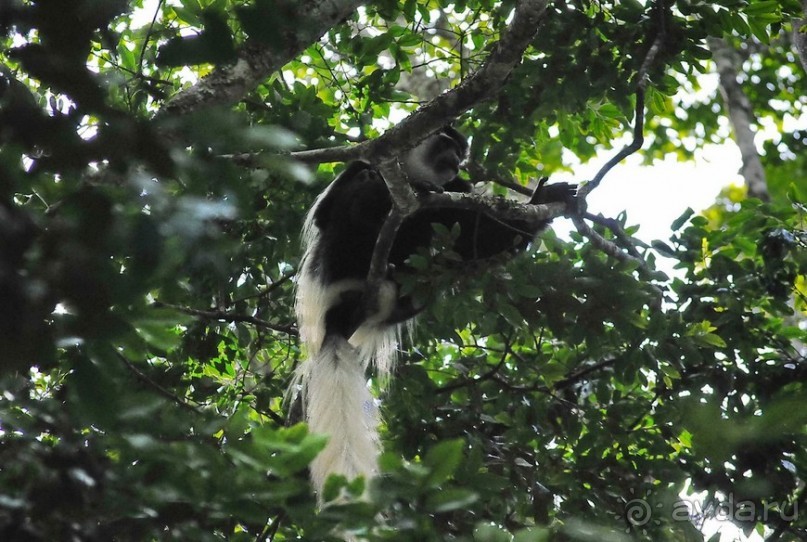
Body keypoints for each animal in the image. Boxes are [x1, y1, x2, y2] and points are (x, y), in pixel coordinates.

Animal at [290, 126, 576, 498]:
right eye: (446, 144)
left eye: (460, 153)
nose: (454, 160)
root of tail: (335, 319)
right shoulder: (363, 161)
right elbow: (328, 212)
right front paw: (392, 188)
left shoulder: (460, 188)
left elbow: (480, 237)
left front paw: (546, 195)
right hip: (337, 266)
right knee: (355, 207)